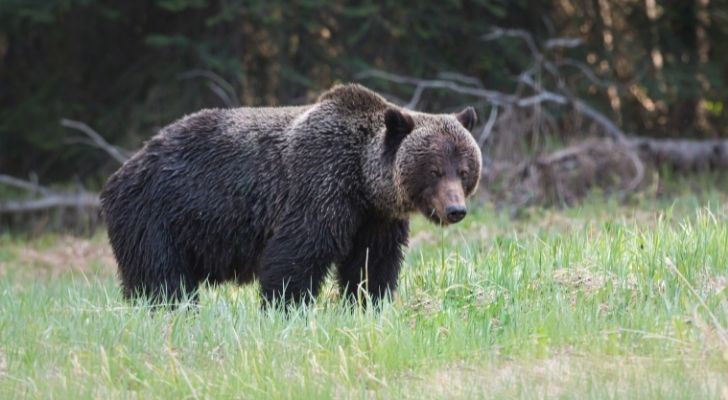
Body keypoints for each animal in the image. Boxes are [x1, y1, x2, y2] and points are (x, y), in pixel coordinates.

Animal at [99, 83, 480, 304]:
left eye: (464, 171)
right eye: (434, 170)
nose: (455, 209)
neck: (362, 180)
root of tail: (124, 167)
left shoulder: (376, 219)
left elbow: (372, 263)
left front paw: (368, 301)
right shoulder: (322, 186)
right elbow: (297, 254)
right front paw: (286, 305)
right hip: (157, 215)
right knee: (160, 278)